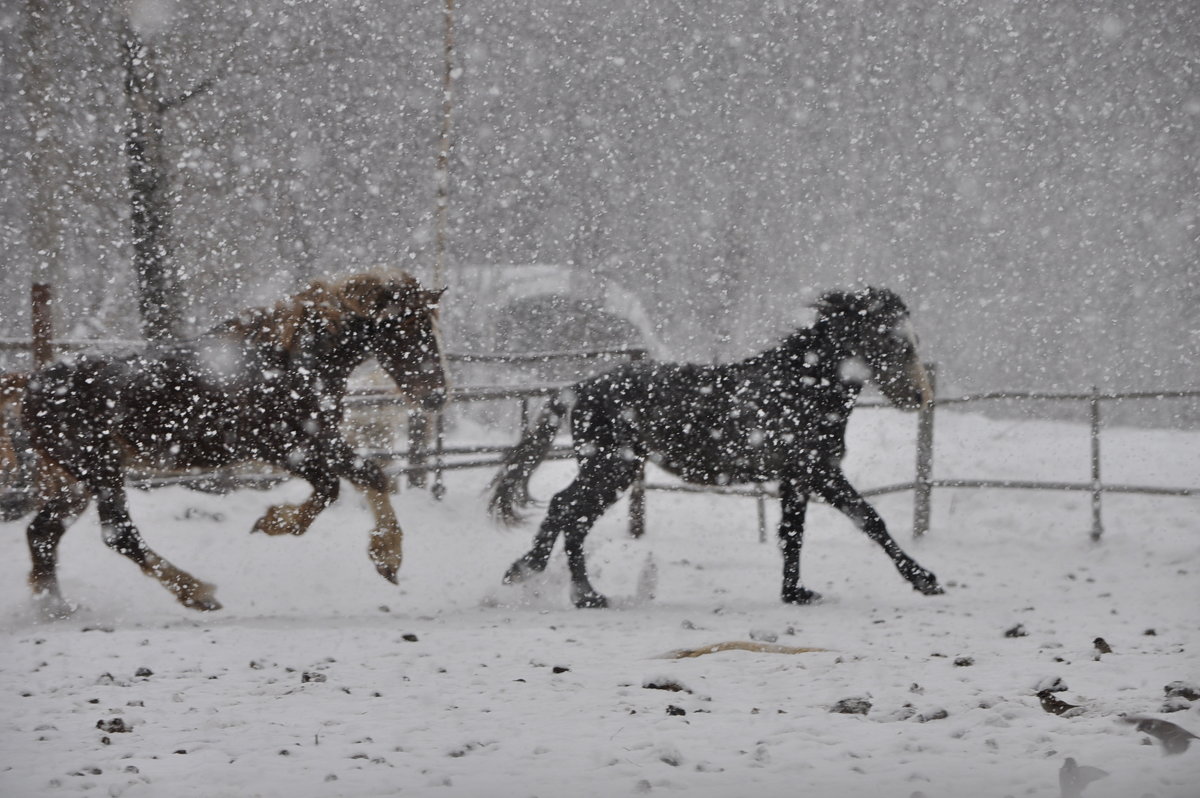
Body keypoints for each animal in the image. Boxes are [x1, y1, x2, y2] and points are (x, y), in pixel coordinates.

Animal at [4, 271, 446, 612]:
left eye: (429, 327)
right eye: (406, 330)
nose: (437, 395)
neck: (292, 362)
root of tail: (31, 390)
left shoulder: (318, 443)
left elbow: (364, 478)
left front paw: (384, 558)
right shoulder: (285, 447)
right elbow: (343, 483)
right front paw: (280, 524)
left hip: (78, 481)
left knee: (42, 532)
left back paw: (54, 607)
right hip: (101, 471)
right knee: (118, 534)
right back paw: (197, 592)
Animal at [492, 289, 940, 607]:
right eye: (896, 343)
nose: (920, 397)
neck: (800, 389)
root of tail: (580, 388)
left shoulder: (796, 477)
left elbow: (791, 533)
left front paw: (795, 593)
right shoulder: (818, 471)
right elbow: (870, 519)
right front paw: (925, 580)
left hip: (616, 470)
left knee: (570, 514)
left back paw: (562, 585)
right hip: (610, 466)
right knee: (567, 510)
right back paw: (561, 585)